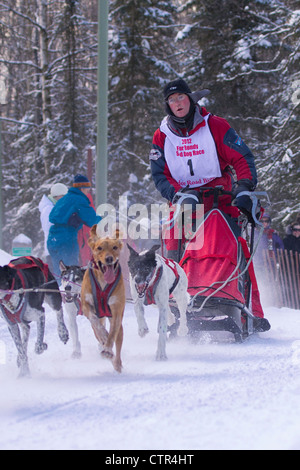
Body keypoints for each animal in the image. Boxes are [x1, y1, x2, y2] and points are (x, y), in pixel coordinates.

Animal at [80, 226, 125, 372]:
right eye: (99, 248)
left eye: (114, 247)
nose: (109, 258)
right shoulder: (86, 306)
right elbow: (96, 323)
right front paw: (104, 335)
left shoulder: (116, 311)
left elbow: (112, 335)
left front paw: (108, 349)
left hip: (119, 327)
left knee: (117, 342)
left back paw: (116, 362)